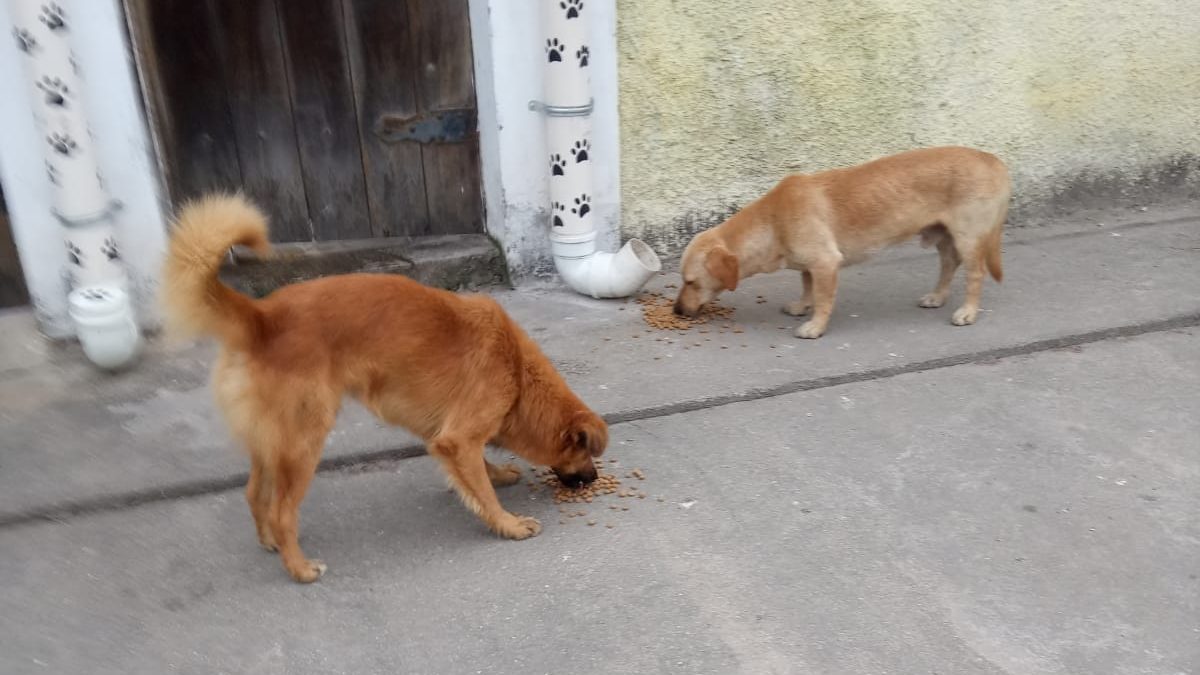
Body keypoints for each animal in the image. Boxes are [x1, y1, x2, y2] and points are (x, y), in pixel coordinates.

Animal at [162, 193, 609, 578]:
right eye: (585, 453)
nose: (593, 479)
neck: (517, 372)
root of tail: (261, 318)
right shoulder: (460, 437)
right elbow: (481, 489)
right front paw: (508, 524)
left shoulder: (450, 436)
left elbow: (480, 468)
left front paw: (497, 474)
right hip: (304, 442)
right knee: (281, 511)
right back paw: (300, 568)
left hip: (272, 443)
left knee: (255, 494)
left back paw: (270, 543)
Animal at [676, 147, 1012, 336]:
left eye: (690, 282)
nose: (676, 311)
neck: (773, 220)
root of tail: (993, 160)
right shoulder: (810, 266)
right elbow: (807, 286)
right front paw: (802, 305)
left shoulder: (826, 263)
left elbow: (824, 299)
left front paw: (815, 326)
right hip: (944, 238)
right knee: (948, 265)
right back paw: (937, 296)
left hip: (969, 239)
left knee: (975, 275)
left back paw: (968, 311)